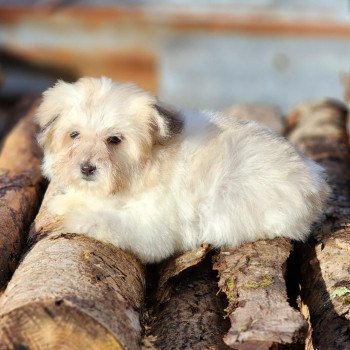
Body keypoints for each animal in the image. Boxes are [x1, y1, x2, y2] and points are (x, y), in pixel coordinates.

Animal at [37, 76, 330, 262]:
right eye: (74, 135)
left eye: (114, 140)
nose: (86, 168)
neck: (148, 165)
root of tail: (316, 183)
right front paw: (65, 201)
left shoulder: (150, 228)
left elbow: (107, 221)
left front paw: (79, 216)